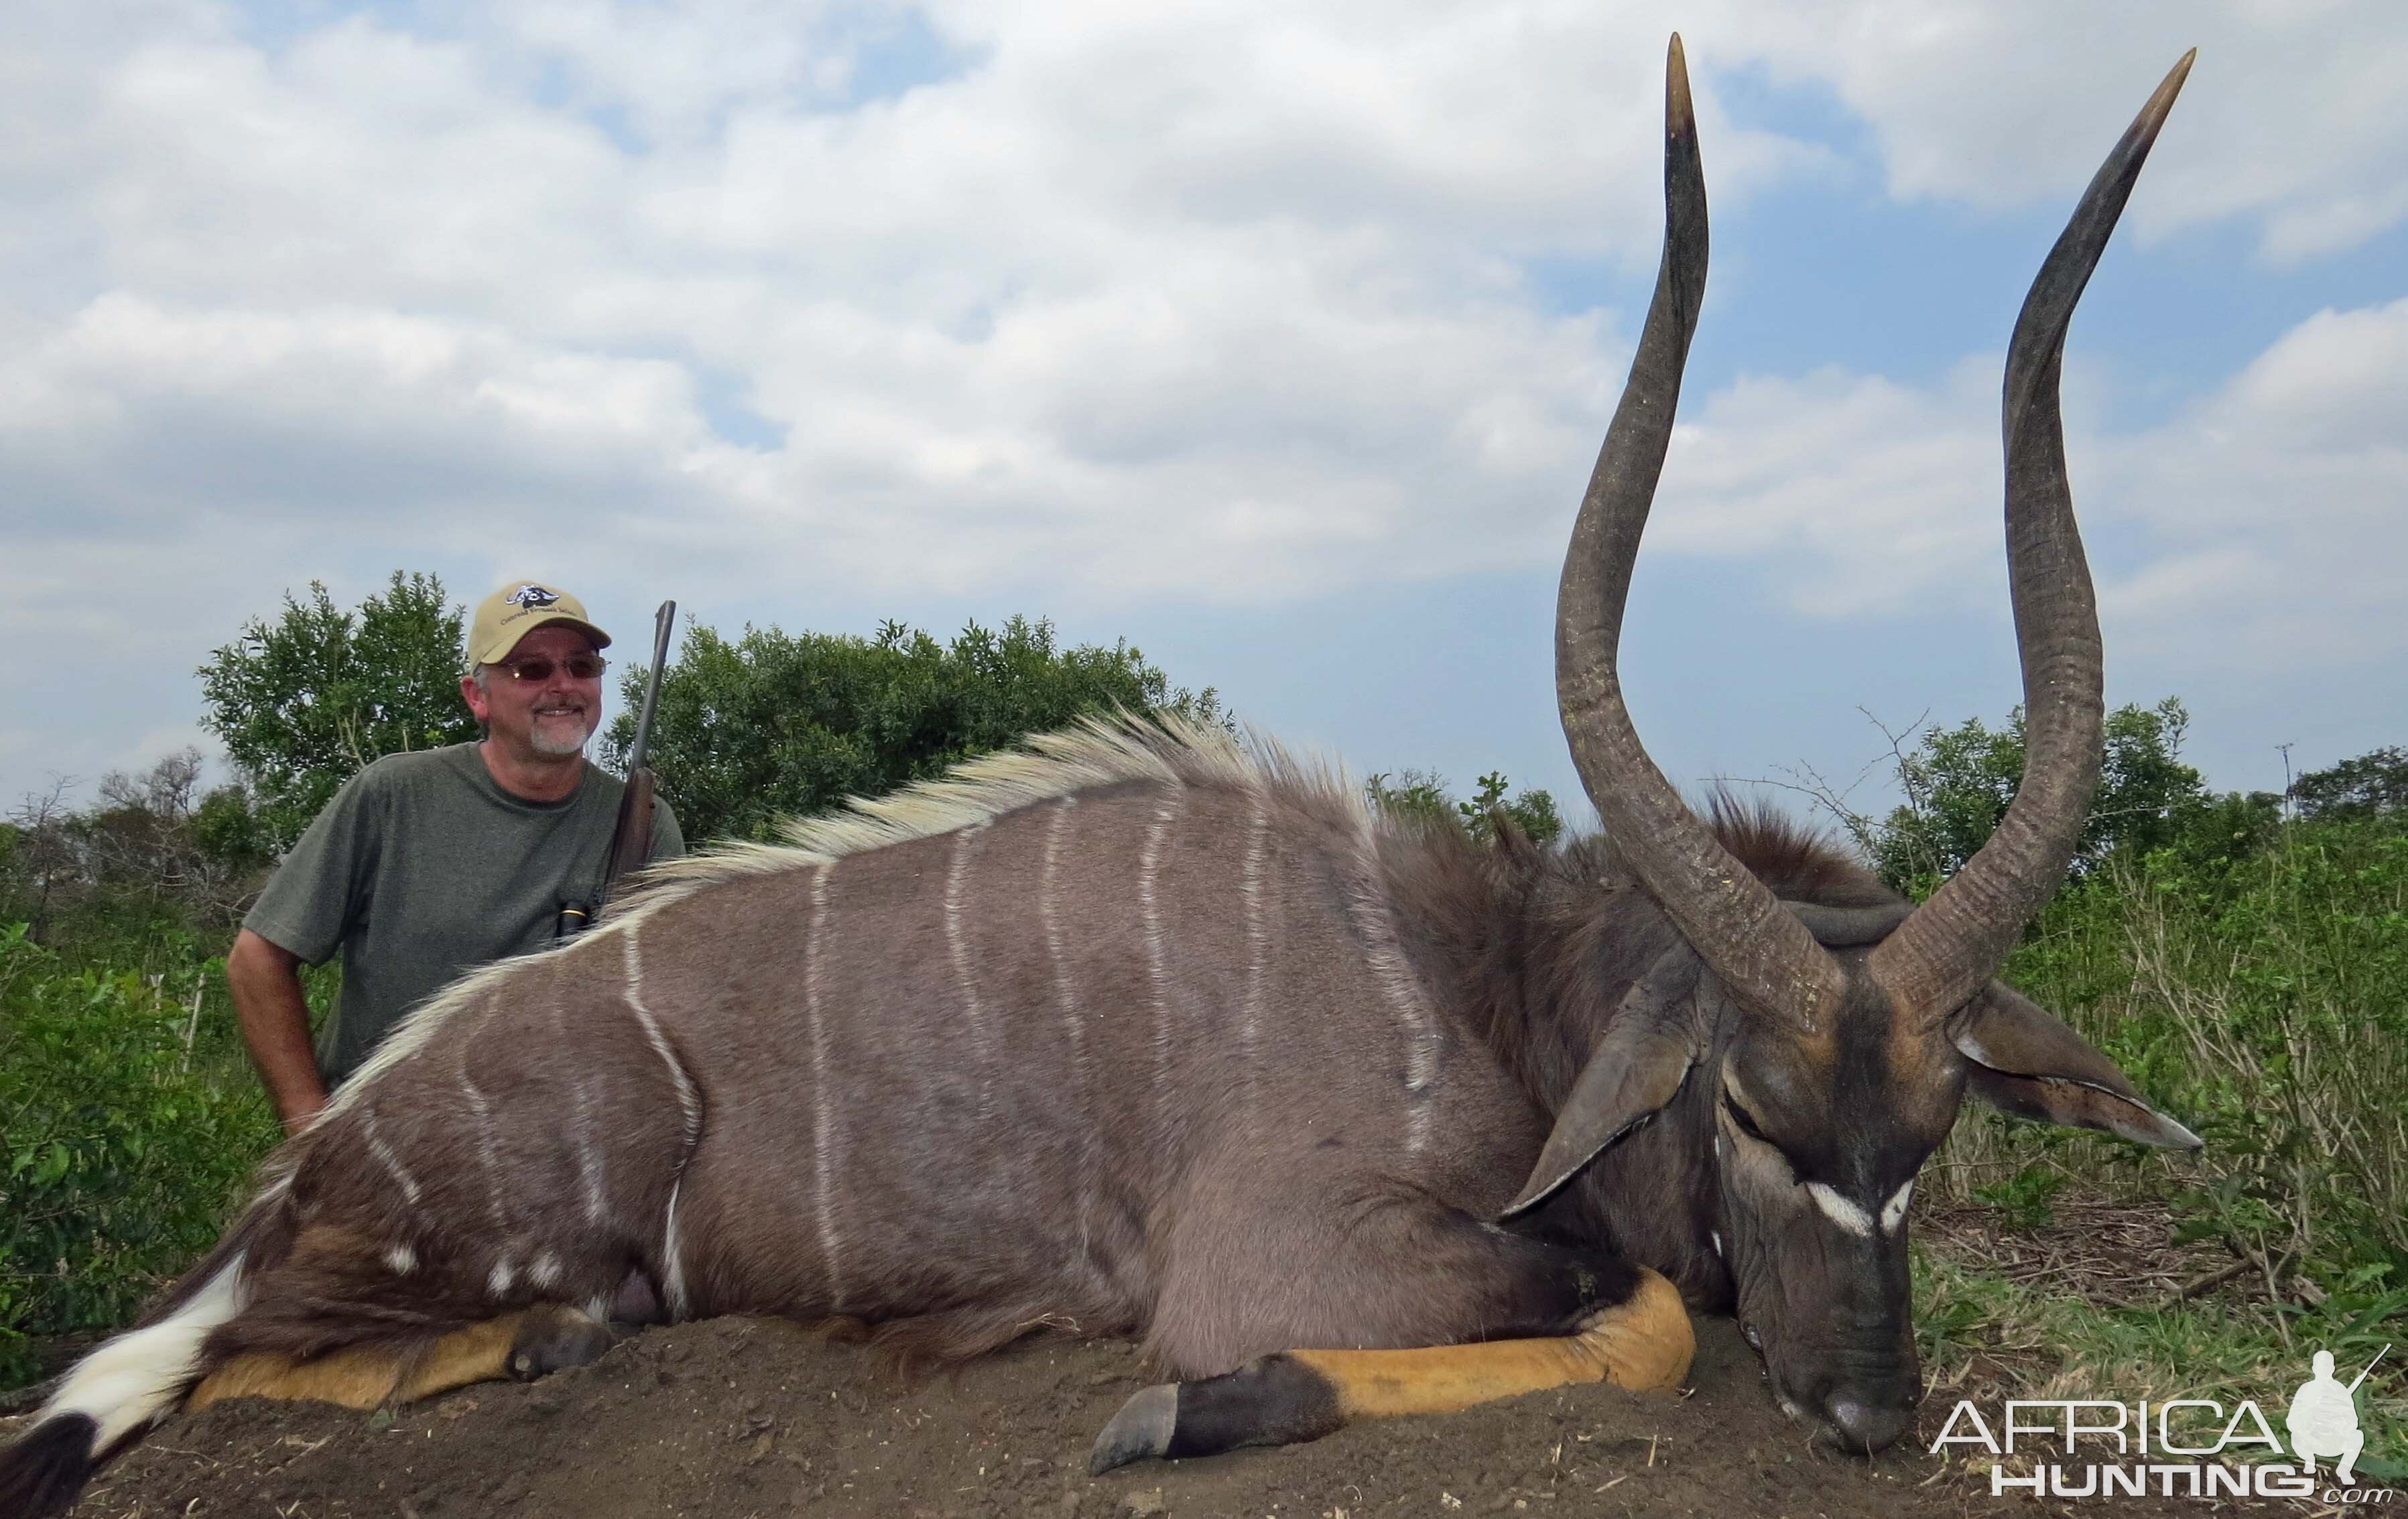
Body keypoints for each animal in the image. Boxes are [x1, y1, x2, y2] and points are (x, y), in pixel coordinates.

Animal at [0, 38, 2206, 1519]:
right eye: (1745, 1110)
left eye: (1942, 1121)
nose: (1864, 1411)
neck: (1482, 977)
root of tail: (311, 1159)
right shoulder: (1288, 1253)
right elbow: (1636, 1308)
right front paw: (1169, 1409)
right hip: (449, 1252)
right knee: (187, 1378)